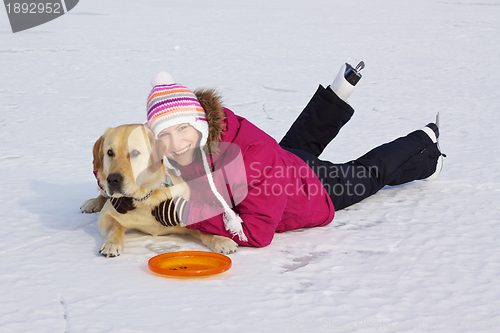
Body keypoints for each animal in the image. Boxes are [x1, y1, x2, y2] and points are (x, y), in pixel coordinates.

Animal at [80, 123, 238, 255]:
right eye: (110, 152)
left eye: (135, 153)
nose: (113, 180)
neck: (146, 197)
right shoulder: (106, 215)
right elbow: (116, 227)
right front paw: (112, 243)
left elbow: (204, 229)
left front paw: (221, 240)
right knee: (103, 194)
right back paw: (92, 203)